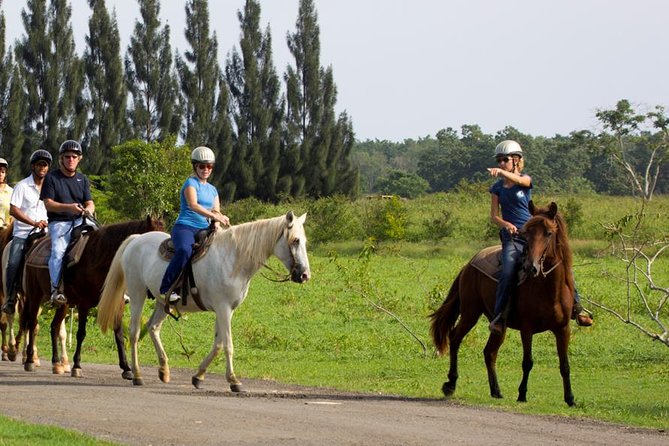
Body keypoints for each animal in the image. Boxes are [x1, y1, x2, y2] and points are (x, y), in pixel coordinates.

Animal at [19, 216, 163, 376]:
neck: (98, 259)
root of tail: (34, 247)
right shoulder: (84, 303)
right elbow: (81, 333)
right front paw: (76, 366)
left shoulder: (117, 304)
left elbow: (119, 334)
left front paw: (126, 368)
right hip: (34, 296)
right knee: (32, 324)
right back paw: (30, 360)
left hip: (64, 304)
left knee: (54, 327)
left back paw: (56, 363)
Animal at [97, 212, 310, 390]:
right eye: (295, 240)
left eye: (304, 241)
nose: (304, 275)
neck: (233, 259)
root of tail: (136, 240)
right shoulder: (223, 308)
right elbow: (228, 345)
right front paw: (234, 380)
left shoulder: (225, 310)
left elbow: (218, 345)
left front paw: (198, 376)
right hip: (137, 294)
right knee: (134, 333)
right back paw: (137, 375)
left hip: (161, 301)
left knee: (152, 327)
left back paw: (164, 370)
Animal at [430, 203, 576, 408]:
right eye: (526, 233)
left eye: (548, 233)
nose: (531, 267)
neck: (550, 289)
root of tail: (469, 265)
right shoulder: (527, 328)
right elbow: (527, 362)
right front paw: (522, 394)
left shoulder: (563, 328)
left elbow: (565, 365)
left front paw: (570, 398)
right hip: (470, 313)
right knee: (455, 338)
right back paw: (450, 383)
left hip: (499, 324)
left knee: (489, 352)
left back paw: (496, 390)